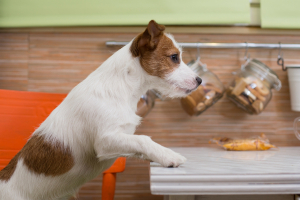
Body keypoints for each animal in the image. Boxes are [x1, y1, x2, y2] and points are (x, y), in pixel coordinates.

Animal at [0, 20, 202, 200]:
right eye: (174, 57)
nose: (200, 80)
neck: (122, 88)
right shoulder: (105, 141)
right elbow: (143, 139)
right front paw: (169, 155)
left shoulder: (121, 138)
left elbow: (137, 144)